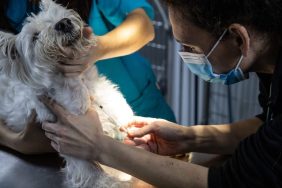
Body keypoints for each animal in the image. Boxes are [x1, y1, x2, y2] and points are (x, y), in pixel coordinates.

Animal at [0, 0, 134, 187]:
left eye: (56, 13)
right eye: (35, 37)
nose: (63, 23)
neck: (77, 86)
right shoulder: (75, 148)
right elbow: (99, 177)